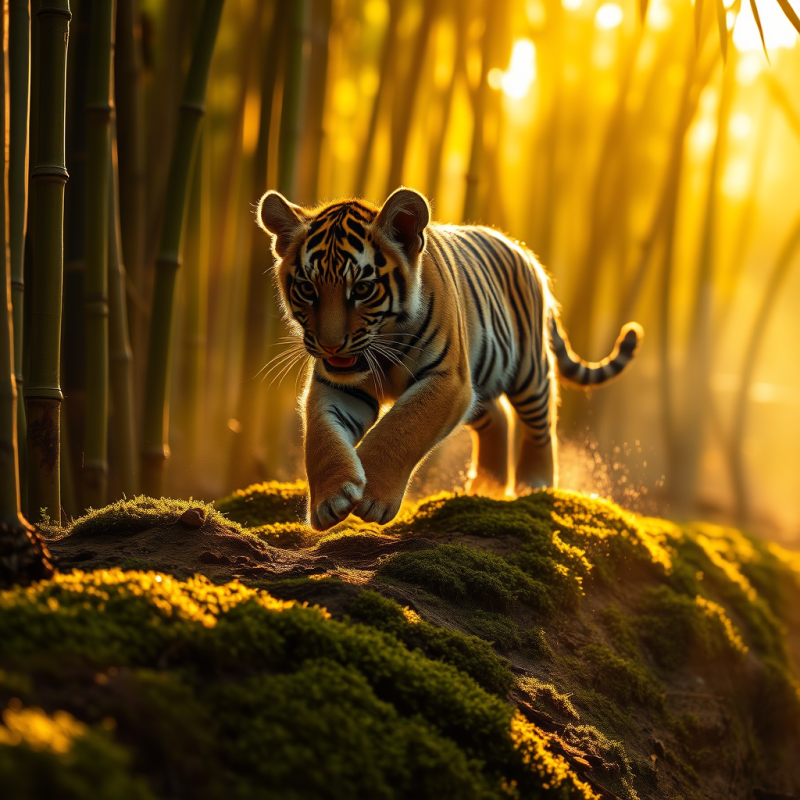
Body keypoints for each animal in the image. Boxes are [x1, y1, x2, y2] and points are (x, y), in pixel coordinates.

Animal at [256, 187, 643, 531]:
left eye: (362, 289)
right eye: (307, 289)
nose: (331, 345)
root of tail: (525, 252)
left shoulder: (447, 380)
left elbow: (402, 428)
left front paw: (372, 497)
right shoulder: (337, 385)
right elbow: (321, 436)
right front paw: (330, 500)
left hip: (529, 372)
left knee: (541, 424)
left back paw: (535, 483)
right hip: (480, 383)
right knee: (499, 418)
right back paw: (487, 487)